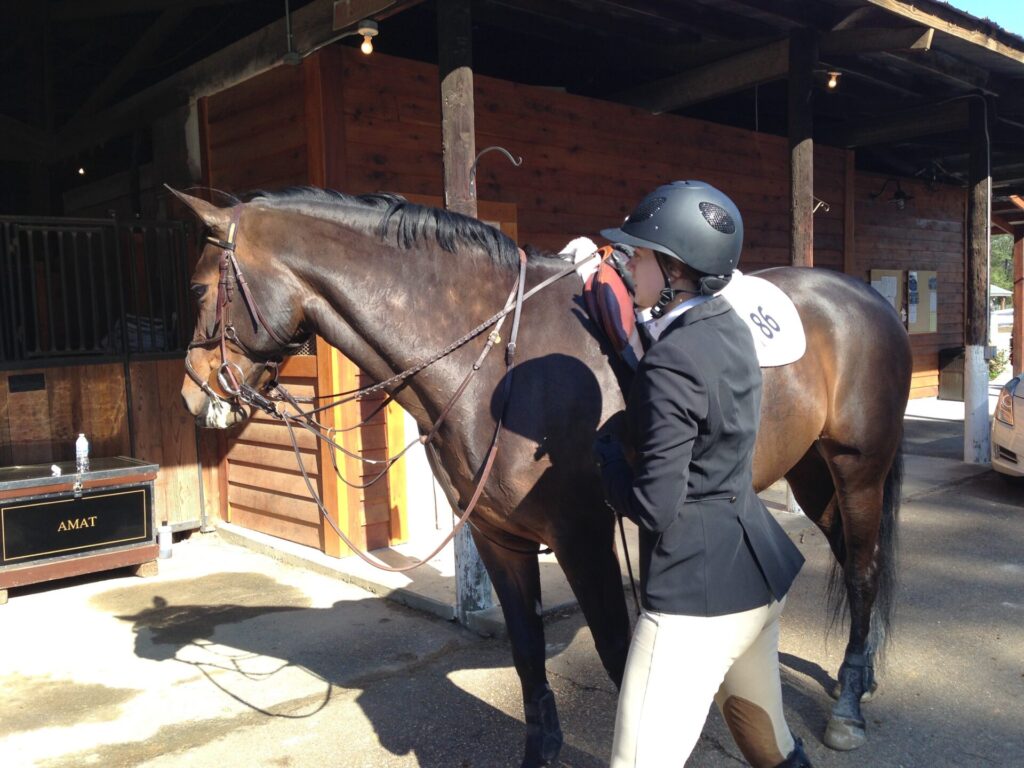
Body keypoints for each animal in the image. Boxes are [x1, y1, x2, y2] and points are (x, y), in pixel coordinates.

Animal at [172, 188, 909, 768]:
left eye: (200, 288)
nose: (191, 398)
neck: (495, 357)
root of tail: (869, 298)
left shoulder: (584, 539)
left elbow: (618, 656)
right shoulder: (500, 539)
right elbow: (527, 652)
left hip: (858, 468)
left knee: (864, 569)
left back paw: (848, 705)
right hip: (814, 475)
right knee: (853, 559)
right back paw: (865, 675)